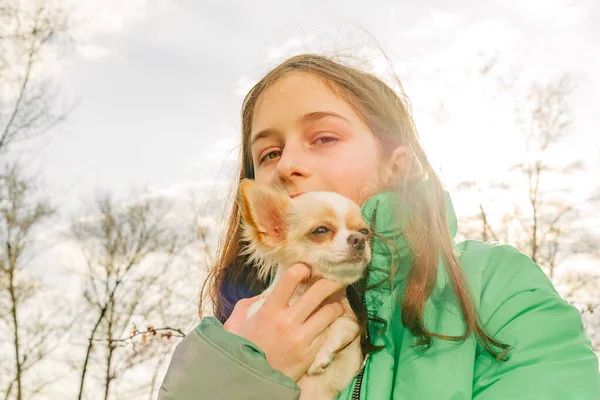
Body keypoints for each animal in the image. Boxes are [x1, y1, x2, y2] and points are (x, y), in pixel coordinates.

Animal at [238, 179, 370, 400]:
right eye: (321, 230)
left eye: (365, 232)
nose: (359, 240)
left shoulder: (351, 344)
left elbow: (343, 323)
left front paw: (321, 357)